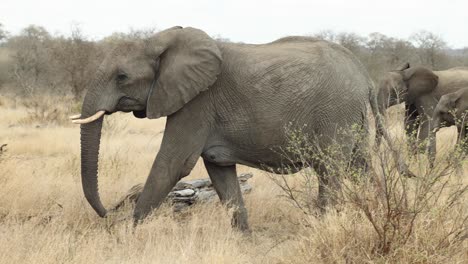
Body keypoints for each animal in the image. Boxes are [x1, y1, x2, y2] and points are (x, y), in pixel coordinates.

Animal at [70, 25, 410, 230]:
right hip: (351, 116)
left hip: (335, 111)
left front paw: (126, 235)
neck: (159, 40)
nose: (109, 213)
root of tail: (364, 75)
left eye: (122, 77)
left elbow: (172, 164)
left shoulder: (197, 103)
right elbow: (221, 175)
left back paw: (323, 225)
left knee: (331, 169)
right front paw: (244, 239)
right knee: (360, 165)